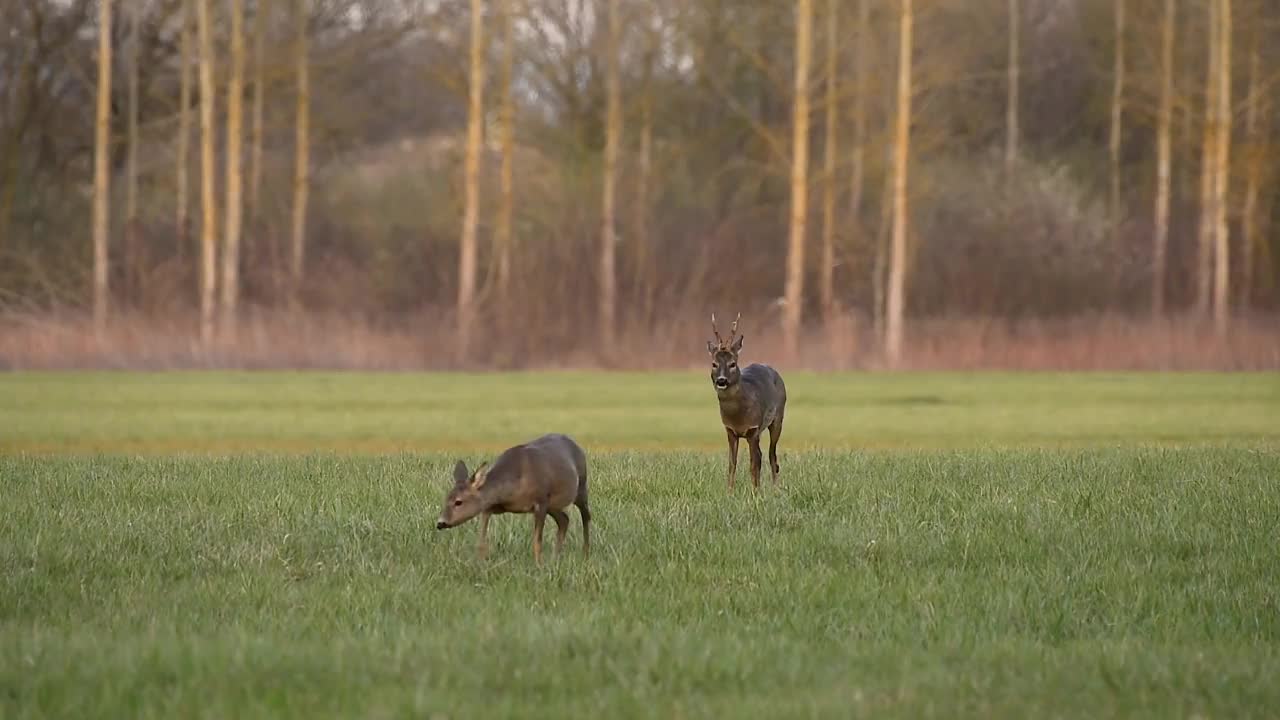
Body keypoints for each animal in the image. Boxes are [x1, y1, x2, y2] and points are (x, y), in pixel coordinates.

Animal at [432, 430, 586, 561]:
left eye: (458, 502)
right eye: (446, 499)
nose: (440, 523)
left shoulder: (541, 501)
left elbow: (537, 541)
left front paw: (539, 566)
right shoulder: (489, 507)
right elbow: (481, 540)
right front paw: (479, 564)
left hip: (581, 486)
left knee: (585, 516)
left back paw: (586, 553)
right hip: (554, 505)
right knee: (564, 519)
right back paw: (555, 558)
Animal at [706, 311, 783, 489]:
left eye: (732, 363)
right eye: (714, 364)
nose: (721, 380)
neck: (738, 415)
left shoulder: (753, 429)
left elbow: (753, 465)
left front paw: (756, 492)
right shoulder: (730, 430)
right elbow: (731, 464)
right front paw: (729, 491)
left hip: (778, 418)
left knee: (771, 455)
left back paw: (775, 489)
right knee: (763, 455)